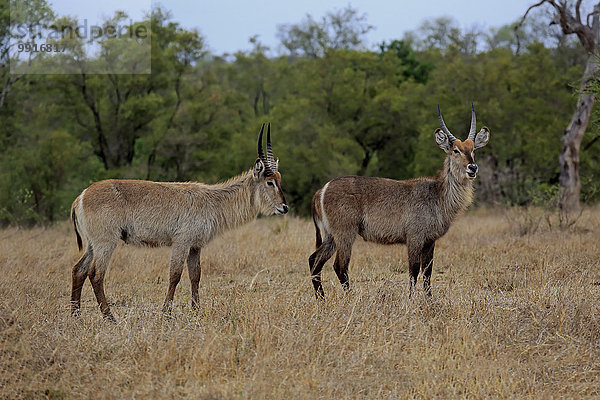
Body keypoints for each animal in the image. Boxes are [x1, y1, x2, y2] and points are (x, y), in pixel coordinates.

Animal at [71, 123, 288, 320]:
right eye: (270, 182)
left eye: (279, 180)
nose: (285, 208)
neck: (212, 201)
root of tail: (81, 196)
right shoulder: (181, 242)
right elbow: (175, 275)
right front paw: (166, 313)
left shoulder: (195, 246)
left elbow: (195, 276)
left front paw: (196, 311)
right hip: (106, 242)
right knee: (96, 274)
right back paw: (109, 317)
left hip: (92, 244)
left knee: (78, 270)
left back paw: (76, 314)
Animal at [308, 104, 490, 298]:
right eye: (456, 150)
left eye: (473, 149)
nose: (473, 167)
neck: (438, 195)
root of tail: (321, 190)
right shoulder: (414, 237)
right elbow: (414, 271)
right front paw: (410, 300)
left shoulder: (430, 240)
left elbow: (428, 272)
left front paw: (429, 300)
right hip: (345, 233)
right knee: (340, 266)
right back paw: (348, 298)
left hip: (331, 235)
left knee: (314, 260)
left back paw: (322, 299)